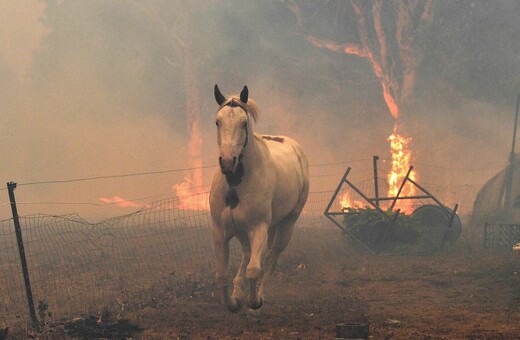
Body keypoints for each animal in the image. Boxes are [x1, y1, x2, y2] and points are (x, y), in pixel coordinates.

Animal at [209, 84, 308, 310]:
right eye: (218, 121)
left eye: (243, 123)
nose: (227, 162)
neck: (236, 185)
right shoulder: (220, 230)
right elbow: (221, 274)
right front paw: (233, 302)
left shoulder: (259, 228)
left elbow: (254, 269)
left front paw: (253, 301)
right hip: (243, 231)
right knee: (247, 254)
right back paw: (238, 291)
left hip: (286, 225)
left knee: (271, 259)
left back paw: (259, 295)